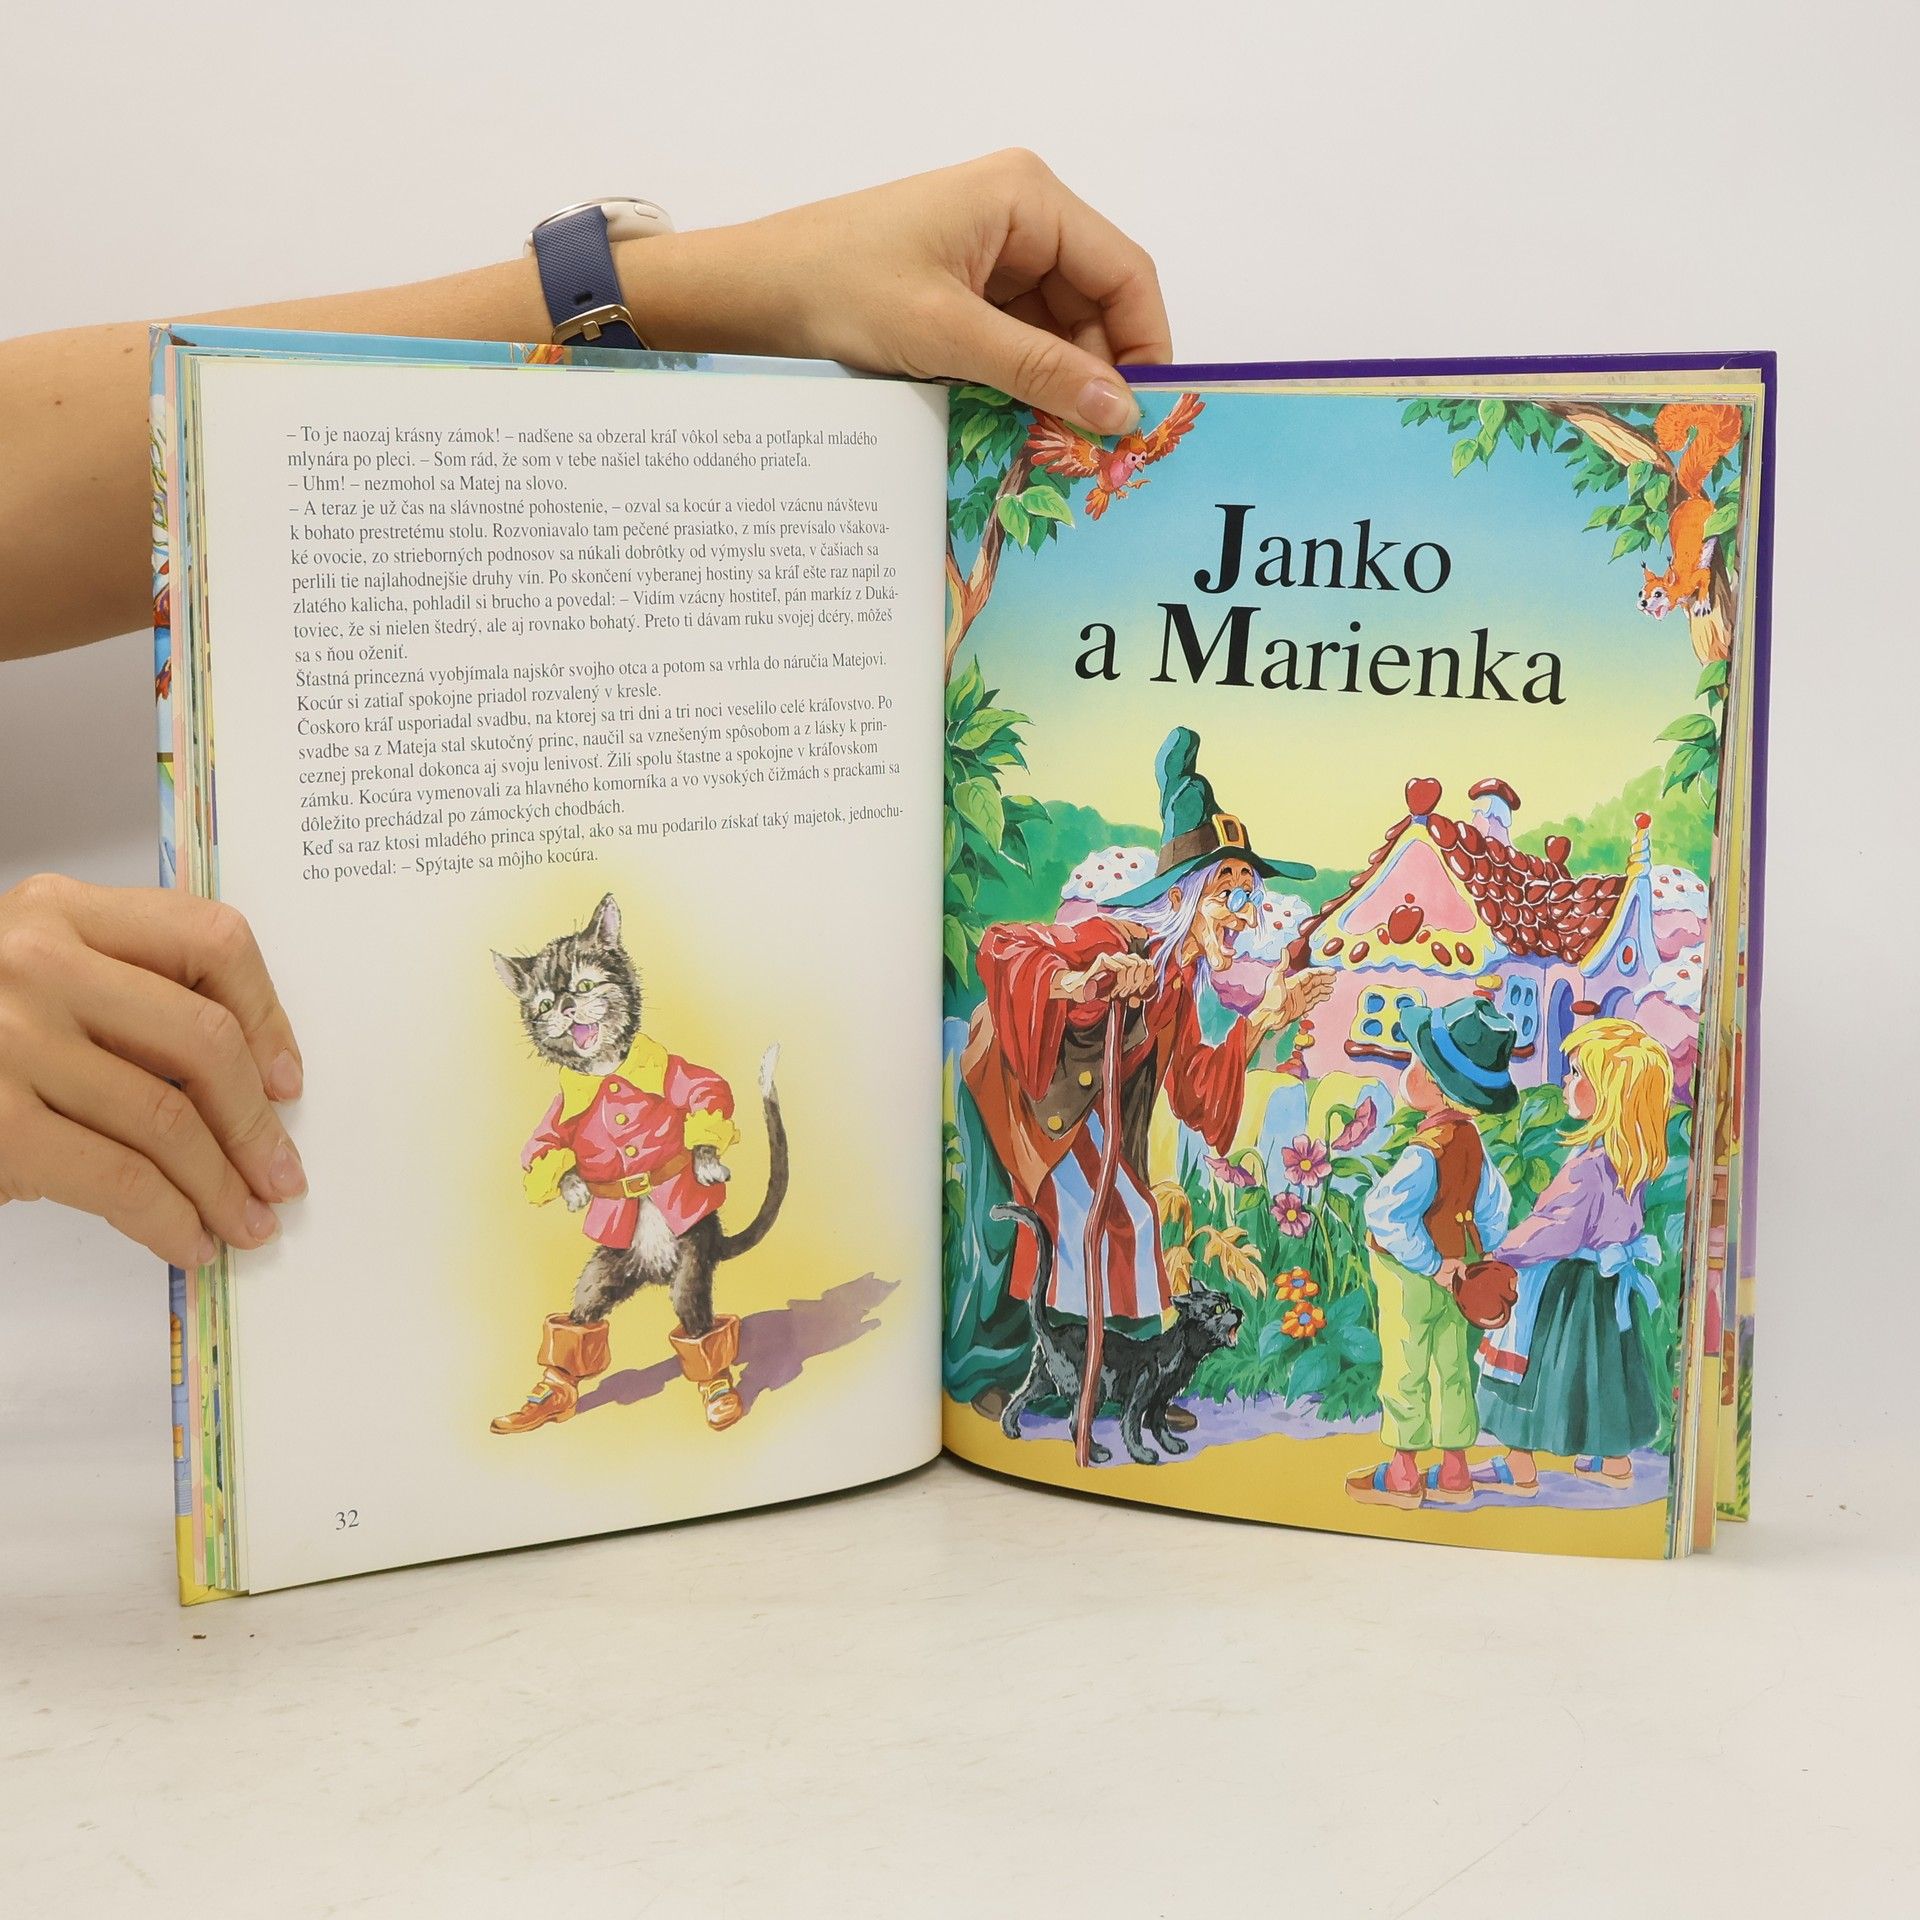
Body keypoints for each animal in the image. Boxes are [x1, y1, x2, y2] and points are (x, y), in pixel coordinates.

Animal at [493, 893, 786, 1342]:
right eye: (543, 1005)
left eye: (584, 986)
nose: (565, 1006)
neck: (605, 1072)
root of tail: (654, 1270)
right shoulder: (555, 1118)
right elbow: (540, 1151)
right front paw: (574, 1189)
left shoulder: (684, 1076)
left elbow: (709, 1093)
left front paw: (706, 1163)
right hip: (606, 1268)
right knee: (582, 1313)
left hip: (691, 1260)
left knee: (695, 1321)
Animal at [991, 1201, 1241, 1466]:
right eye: (1218, 1309)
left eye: (1229, 1302)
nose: (1239, 1311)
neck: (1181, 1356)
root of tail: (1054, 1332)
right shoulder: (1138, 1397)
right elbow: (1131, 1427)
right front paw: (1142, 1455)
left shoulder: (1161, 1401)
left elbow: (1160, 1425)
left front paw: (1172, 1446)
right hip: (1093, 1389)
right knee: (1075, 1423)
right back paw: (1096, 1454)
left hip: (1042, 1381)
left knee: (1019, 1399)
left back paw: (1010, 1429)